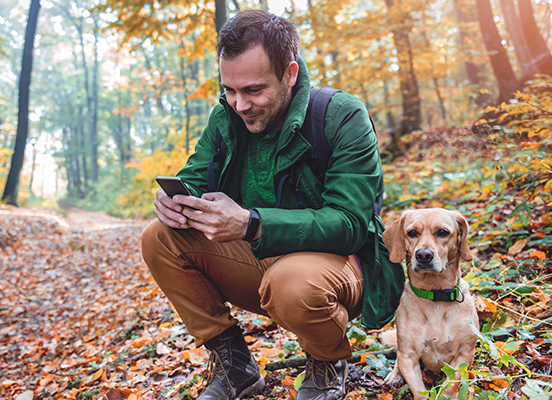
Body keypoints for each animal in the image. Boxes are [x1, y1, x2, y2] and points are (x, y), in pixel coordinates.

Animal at [380, 209, 478, 400]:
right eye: (412, 233)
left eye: (442, 232)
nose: (423, 255)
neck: (435, 296)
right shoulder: (408, 356)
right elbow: (419, 391)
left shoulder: (464, 353)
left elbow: (450, 386)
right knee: (398, 361)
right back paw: (395, 375)